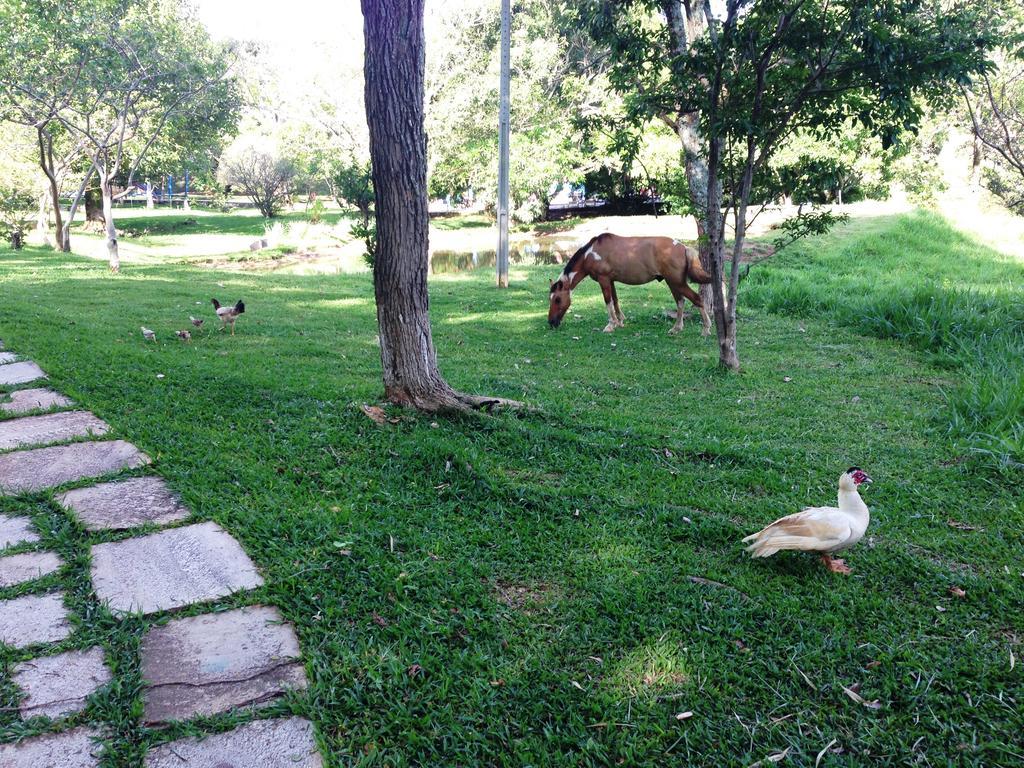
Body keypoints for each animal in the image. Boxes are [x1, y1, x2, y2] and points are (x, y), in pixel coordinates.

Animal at [544, 231, 712, 333]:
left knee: (696, 299)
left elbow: (608, 301)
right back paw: (677, 328)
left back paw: (706, 328)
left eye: (557, 299)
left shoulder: (603, 280)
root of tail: (683, 247)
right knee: (680, 301)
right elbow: (615, 300)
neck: (590, 254)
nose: (551, 322)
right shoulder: (611, 280)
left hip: (677, 282)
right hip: (673, 282)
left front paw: (611, 325)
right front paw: (620, 321)